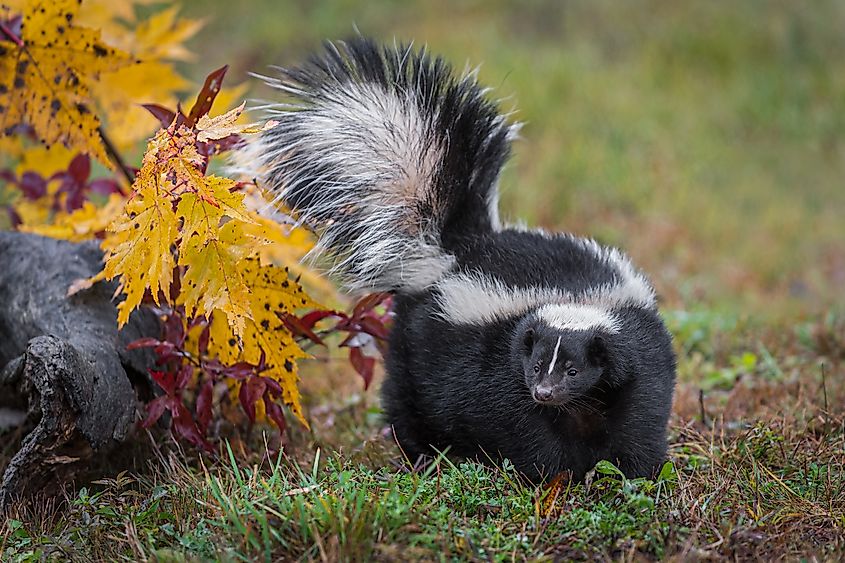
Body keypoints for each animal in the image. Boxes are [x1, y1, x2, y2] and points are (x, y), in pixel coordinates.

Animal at [234, 37, 676, 482]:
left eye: (573, 370)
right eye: (536, 366)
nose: (544, 392)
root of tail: (459, 245)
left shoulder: (637, 358)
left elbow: (638, 418)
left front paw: (635, 473)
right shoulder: (496, 368)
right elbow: (524, 428)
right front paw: (553, 476)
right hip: (417, 344)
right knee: (407, 399)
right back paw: (421, 454)